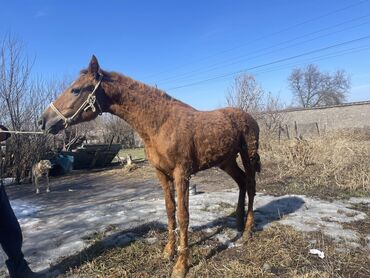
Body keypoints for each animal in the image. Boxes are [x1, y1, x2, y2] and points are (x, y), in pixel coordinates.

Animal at [39, 56, 260, 278]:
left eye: (76, 90)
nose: (43, 121)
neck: (161, 124)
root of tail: (250, 118)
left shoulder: (182, 174)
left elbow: (183, 216)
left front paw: (181, 266)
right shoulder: (161, 174)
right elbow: (170, 211)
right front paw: (168, 252)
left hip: (247, 157)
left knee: (250, 185)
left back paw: (248, 231)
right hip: (226, 161)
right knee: (241, 182)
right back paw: (238, 223)